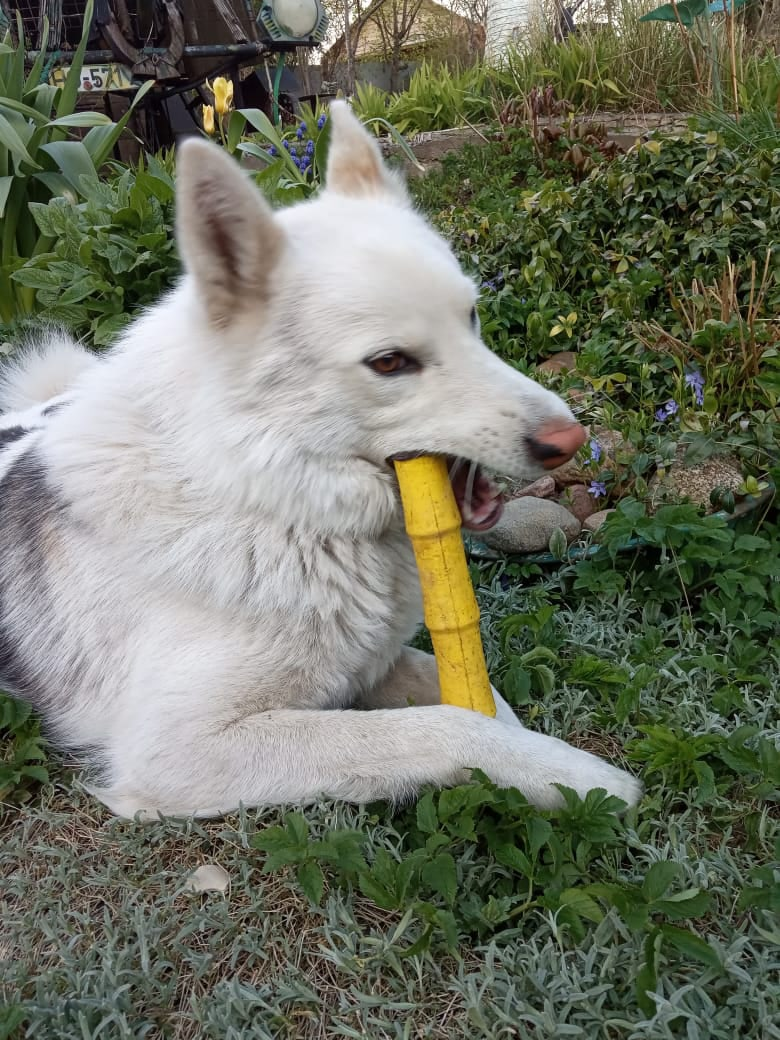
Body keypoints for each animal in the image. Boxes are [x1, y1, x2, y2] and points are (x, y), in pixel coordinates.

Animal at [0, 105, 640, 819]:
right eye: (390, 362)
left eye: (471, 317)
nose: (570, 441)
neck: (260, 494)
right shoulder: (177, 751)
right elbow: (445, 726)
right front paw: (575, 777)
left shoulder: (380, 663)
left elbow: (489, 704)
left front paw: (538, 763)